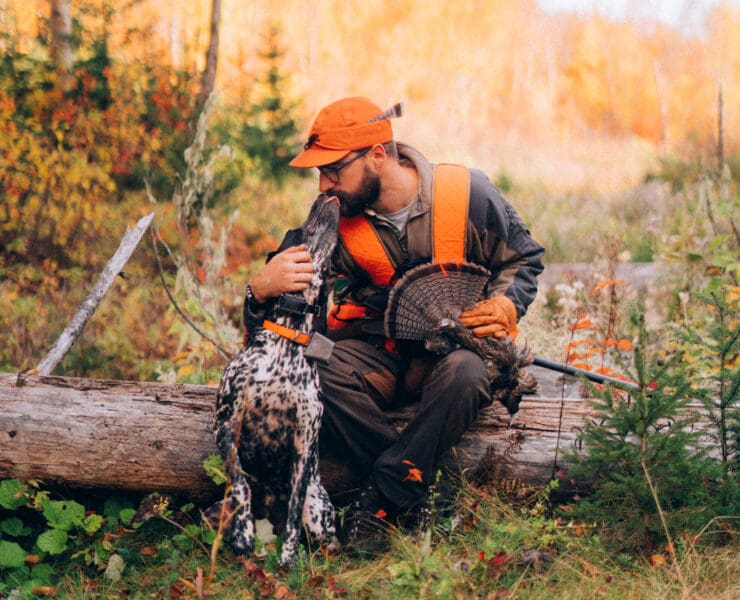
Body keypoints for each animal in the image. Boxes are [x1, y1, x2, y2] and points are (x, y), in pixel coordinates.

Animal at [214, 196, 342, 568]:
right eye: (294, 230)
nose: (324, 196)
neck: (288, 338)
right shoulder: (226, 425)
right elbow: (240, 484)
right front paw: (243, 535)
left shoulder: (304, 443)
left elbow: (294, 510)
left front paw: (289, 557)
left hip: (319, 511)